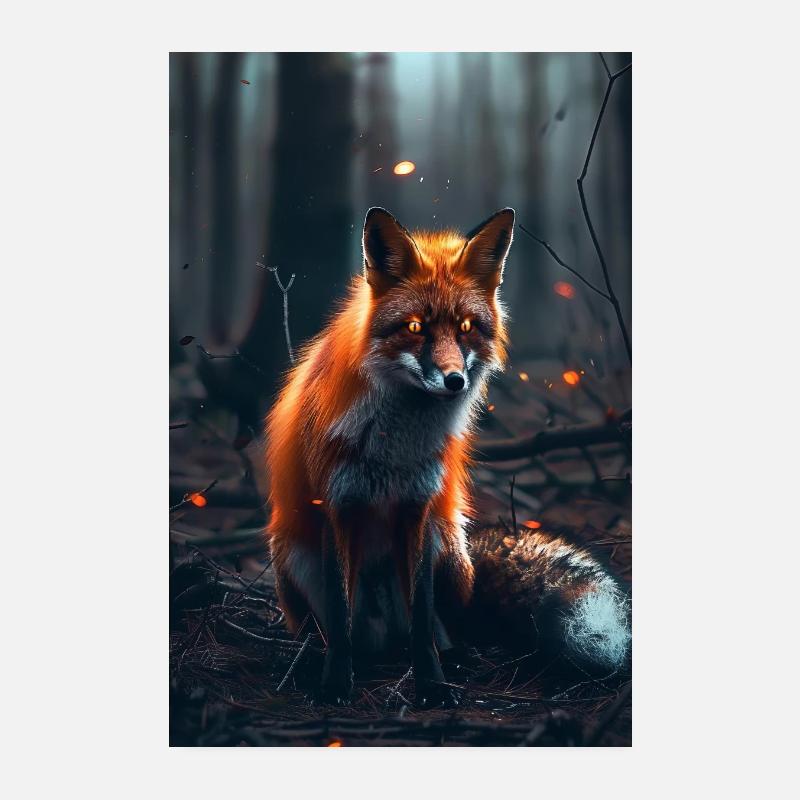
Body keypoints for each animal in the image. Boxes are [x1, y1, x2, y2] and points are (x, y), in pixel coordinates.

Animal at [265, 207, 630, 707]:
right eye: (415, 327)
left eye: (466, 328)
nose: (455, 380)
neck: (395, 446)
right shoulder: (338, 507)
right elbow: (339, 620)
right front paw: (336, 683)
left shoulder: (418, 508)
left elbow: (422, 619)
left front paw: (433, 685)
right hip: (295, 558)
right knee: (344, 634)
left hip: (448, 548)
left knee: (441, 629)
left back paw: (454, 658)